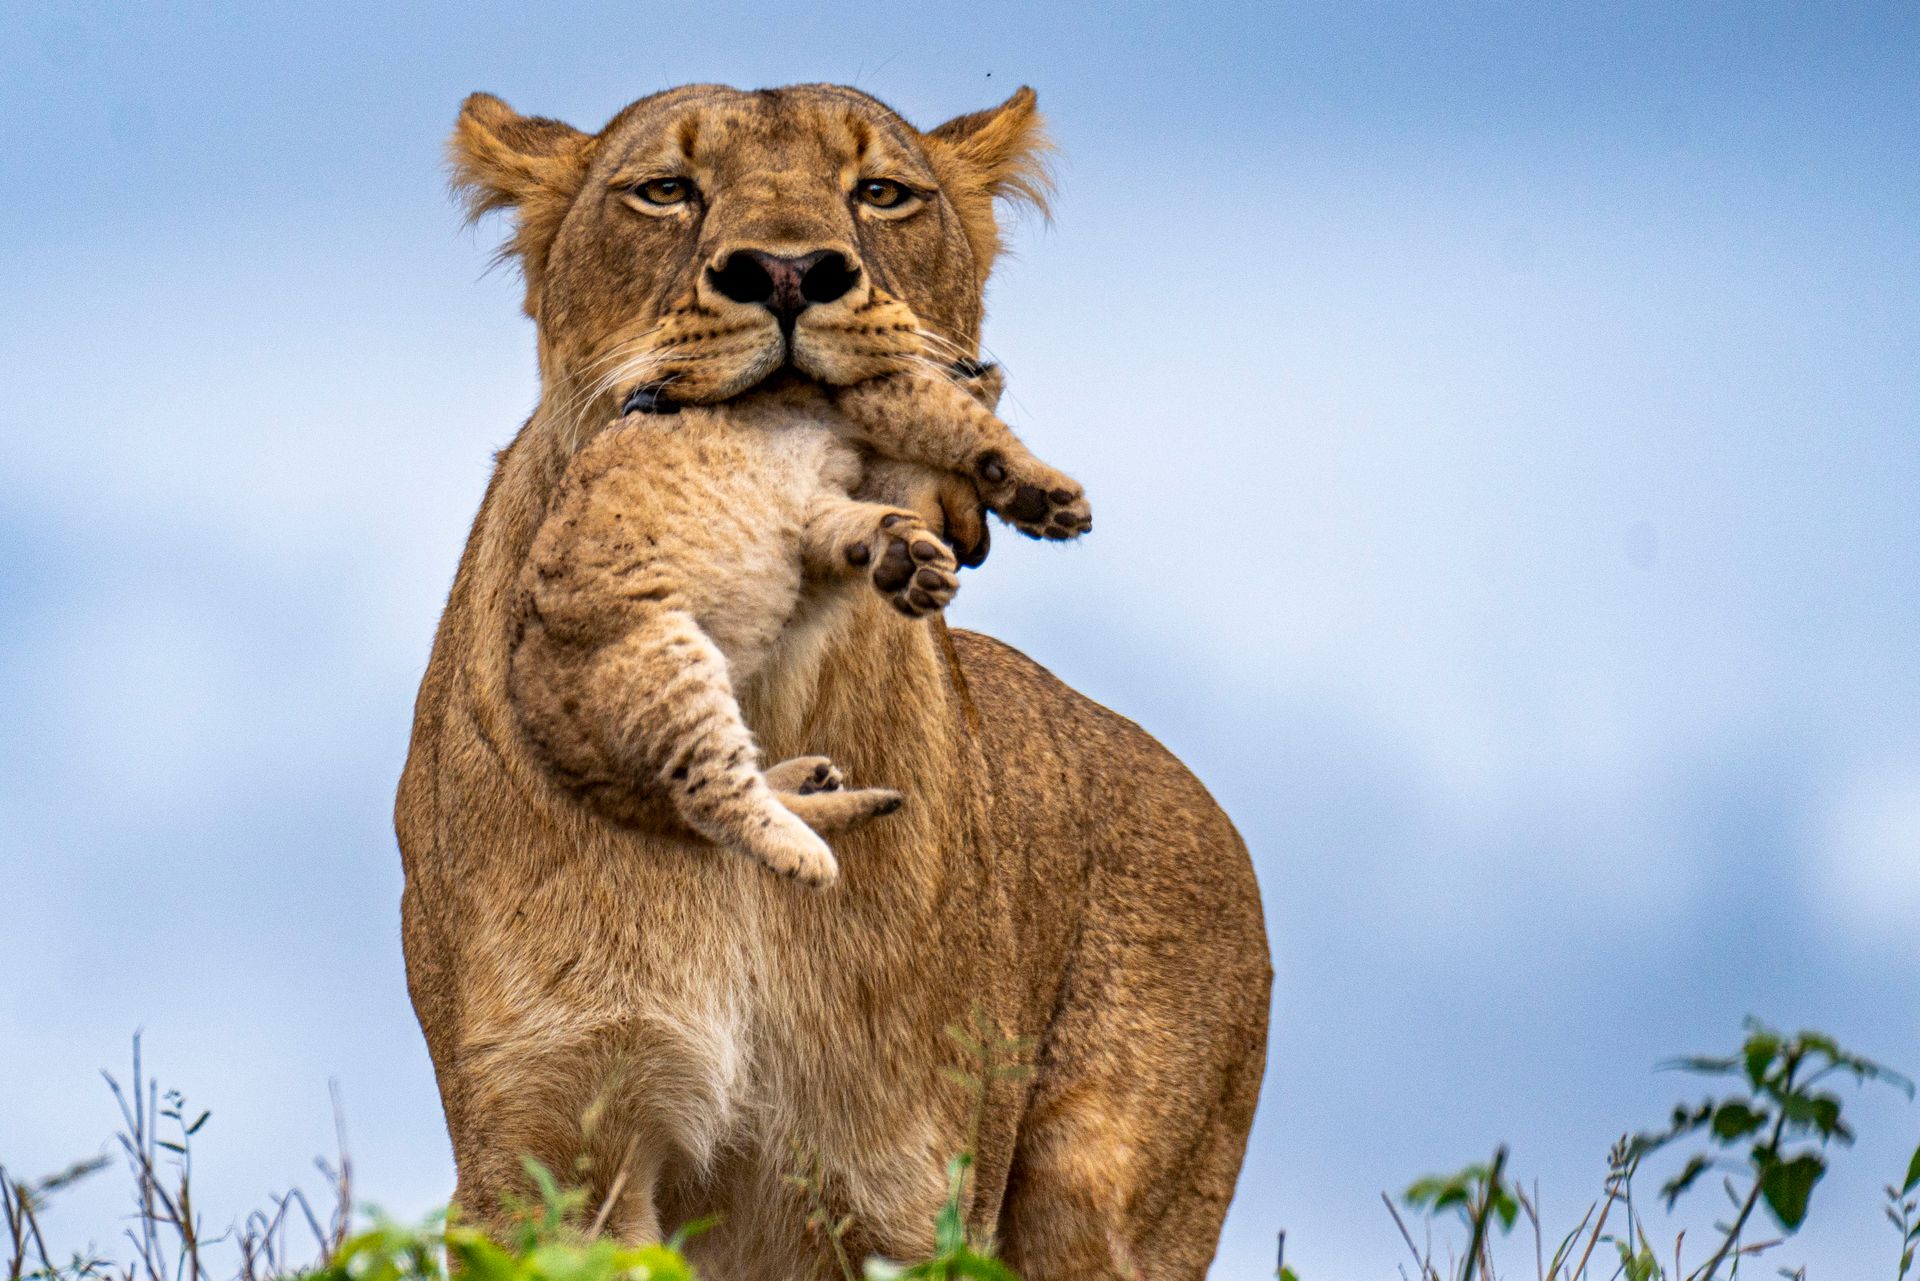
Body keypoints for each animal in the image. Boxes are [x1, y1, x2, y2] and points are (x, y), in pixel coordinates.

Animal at [511, 361, 1088, 886]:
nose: (977, 554)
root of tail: (547, 746)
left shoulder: (817, 505)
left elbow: (852, 526)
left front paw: (905, 559)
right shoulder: (870, 393)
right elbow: (972, 426)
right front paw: (1050, 499)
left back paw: (820, 783)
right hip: (662, 656)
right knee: (709, 792)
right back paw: (807, 853)